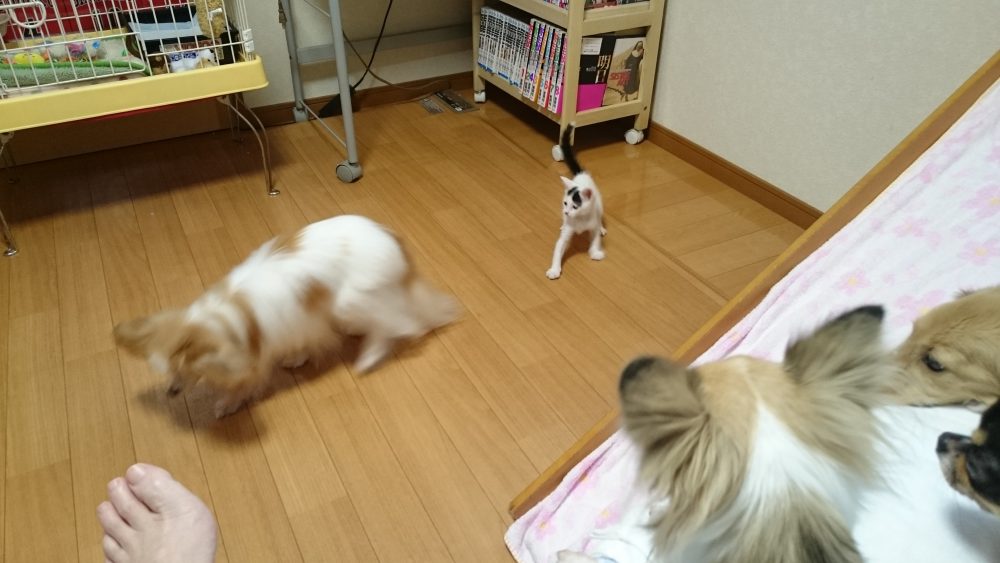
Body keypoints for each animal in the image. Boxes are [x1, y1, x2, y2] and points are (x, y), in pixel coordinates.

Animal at [113, 215, 458, 418]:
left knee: (395, 325)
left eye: (185, 370)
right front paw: (297, 358)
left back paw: (368, 358)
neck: (224, 315)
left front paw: (227, 404)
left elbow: (244, 384)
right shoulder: (301, 318)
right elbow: (304, 339)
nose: (171, 392)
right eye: (169, 371)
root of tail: (394, 240)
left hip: (352, 299)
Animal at [546, 124, 607, 280]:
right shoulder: (565, 234)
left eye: (575, 206)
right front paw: (554, 270)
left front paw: (595, 252)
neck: (580, 219)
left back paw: (602, 228)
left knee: (599, 218)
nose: (566, 212)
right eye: (565, 203)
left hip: (599, 205)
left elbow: (595, 239)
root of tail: (581, 175)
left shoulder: (592, 225)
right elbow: (558, 249)